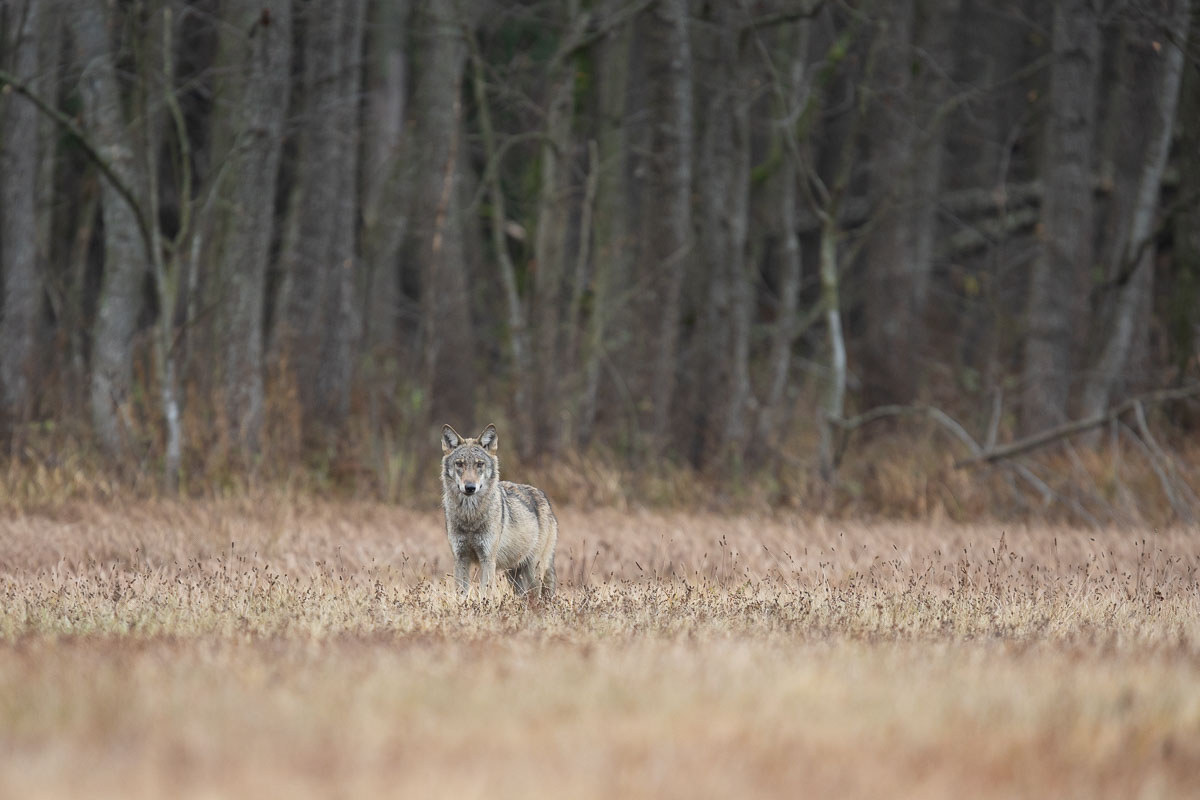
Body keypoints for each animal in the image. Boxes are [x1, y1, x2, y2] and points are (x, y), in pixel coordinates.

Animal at [441, 424, 556, 599]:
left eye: (479, 464)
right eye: (459, 464)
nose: (470, 487)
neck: (470, 517)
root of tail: (544, 496)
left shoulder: (488, 559)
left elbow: (485, 593)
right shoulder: (460, 559)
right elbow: (461, 594)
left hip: (533, 574)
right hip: (515, 578)